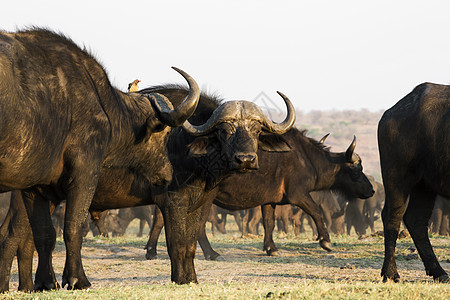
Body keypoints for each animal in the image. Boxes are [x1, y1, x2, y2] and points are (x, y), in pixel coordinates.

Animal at [0, 28, 200, 290]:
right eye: (165, 133)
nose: (169, 173)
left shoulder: (35, 187)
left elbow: (45, 233)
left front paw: (46, 282)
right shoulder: (84, 174)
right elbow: (73, 226)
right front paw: (77, 279)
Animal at [378, 81, 448, 282]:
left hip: (424, 185)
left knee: (416, 220)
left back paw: (439, 272)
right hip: (396, 177)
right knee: (392, 217)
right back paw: (390, 273)